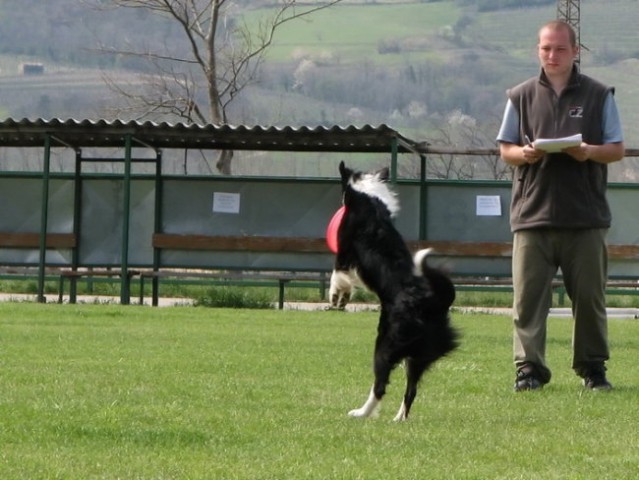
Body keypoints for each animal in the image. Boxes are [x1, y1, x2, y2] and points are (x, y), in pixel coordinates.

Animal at [330, 161, 460, 420]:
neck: (369, 198)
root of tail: (432, 301)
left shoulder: (344, 253)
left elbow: (337, 276)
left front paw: (337, 296)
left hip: (385, 344)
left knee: (380, 385)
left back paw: (362, 413)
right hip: (418, 356)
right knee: (411, 390)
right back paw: (399, 418)